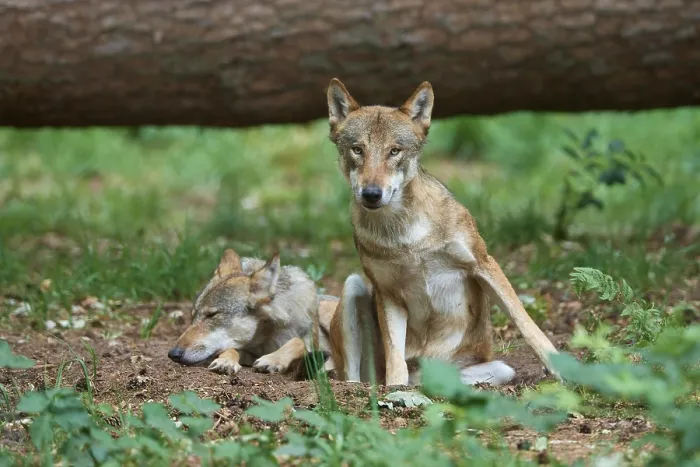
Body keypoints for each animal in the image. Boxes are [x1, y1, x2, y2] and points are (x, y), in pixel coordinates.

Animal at [167, 248, 338, 376]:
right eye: (193, 317)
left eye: (211, 315)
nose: (172, 354)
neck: (266, 339)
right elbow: (230, 349)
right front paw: (226, 361)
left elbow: (297, 341)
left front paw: (272, 360)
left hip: (326, 310)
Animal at [325, 78, 560, 387]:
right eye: (357, 149)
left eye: (394, 151)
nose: (372, 194)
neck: (405, 235)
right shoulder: (388, 293)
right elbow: (395, 357)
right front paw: (395, 388)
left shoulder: (483, 263)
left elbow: (525, 321)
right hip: (353, 287)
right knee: (353, 377)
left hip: (497, 369)